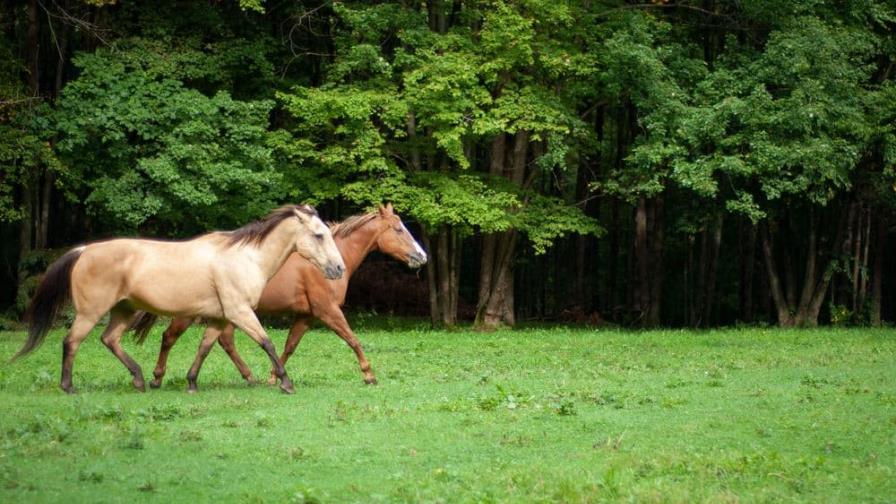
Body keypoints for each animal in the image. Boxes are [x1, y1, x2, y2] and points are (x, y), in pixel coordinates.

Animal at [13, 204, 344, 394]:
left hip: (123, 311)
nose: (339, 268)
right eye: (318, 235)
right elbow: (267, 343)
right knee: (71, 342)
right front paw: (286, 383)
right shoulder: (240, 313)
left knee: (109, 340)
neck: (245, 258)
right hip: (91, 312)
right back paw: (68, 387)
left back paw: (140, 380)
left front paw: (192, 382)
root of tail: (83, 251)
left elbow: (204, 348)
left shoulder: (219, 317)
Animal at [147, 203, 428, 388]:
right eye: (398, 230)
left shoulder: (306, 316)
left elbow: (289, 346)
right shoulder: (328, 310)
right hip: (193, 313)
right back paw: (158, 377)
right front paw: (369, 375)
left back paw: (249, 377)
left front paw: (274, 376)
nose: (421, 256)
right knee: (170, 336)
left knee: (223, 341)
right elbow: (353, 339)